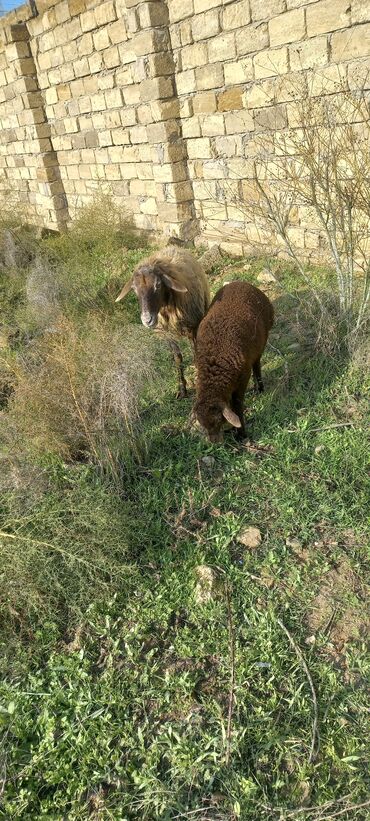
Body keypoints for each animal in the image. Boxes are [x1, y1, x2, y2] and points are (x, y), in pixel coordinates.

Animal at [114, 243, 210, 398]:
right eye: (134, 288)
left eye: (158, 285)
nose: (147, 319)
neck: (166, 308)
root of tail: (173, 246)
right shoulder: (167, 333)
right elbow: (177, 357)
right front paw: (182, 389)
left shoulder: (192, 326)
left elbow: (195, 352)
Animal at [195, 280, 274, 442]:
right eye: (203, 425)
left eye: (218, 421)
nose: (214, 443)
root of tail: (240, 282)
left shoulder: (243, 377)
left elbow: (237, 405)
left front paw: (241, 434)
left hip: (261, 343)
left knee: (257, 364)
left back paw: (260, 388)